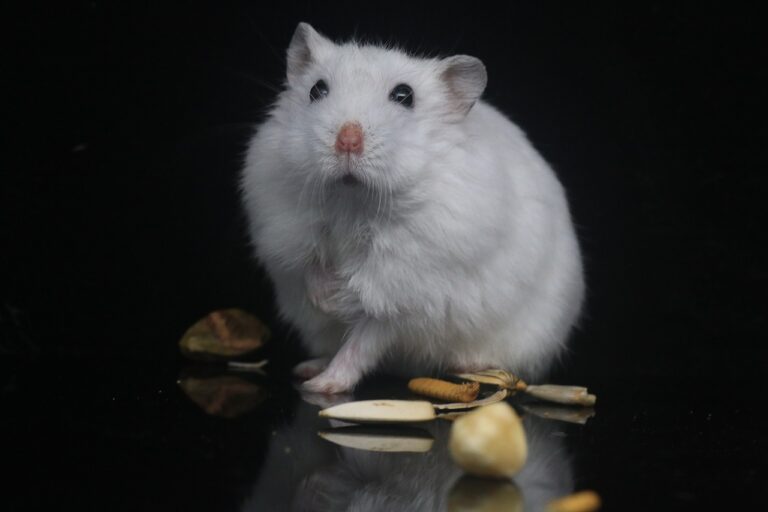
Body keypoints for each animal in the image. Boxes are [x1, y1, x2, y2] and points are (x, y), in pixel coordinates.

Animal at [240, 23, 585, 394]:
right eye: (317, 90)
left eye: (404, 96)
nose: (347, 141)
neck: (354, 201)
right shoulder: (286, 226)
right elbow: (309, 263)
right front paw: (327, 299)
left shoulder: (403, 290)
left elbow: (366, 333)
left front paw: (330, 362)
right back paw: (308, 368)